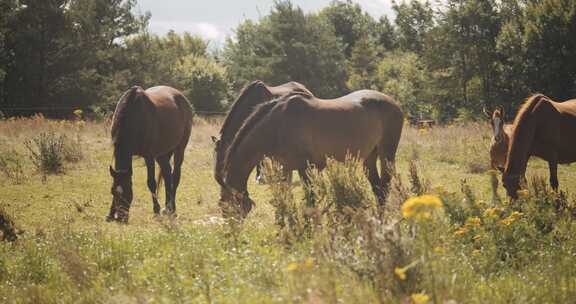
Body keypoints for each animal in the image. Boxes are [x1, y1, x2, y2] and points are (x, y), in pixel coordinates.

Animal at [109, 84, 195, 222]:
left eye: (128, 191)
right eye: (113, 192)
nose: (121, 218)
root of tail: (182, 97)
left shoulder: (148, 156)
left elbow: (151, 183)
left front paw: (156, 211)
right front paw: (110, 214)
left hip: (179, 149)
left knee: (175, 176)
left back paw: (172, 209)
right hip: (161, 154)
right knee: (167, 173)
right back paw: (167, 208)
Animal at [220, 89, 404, 217]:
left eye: (226, 206)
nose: (231, 234)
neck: (278, 125)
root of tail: (394, 103)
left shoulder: (305, 169)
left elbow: (310, 202)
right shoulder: (286, 169)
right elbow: (287, 197)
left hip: (387, 154)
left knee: (385, 187)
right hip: (369, 157)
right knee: (377, 189)